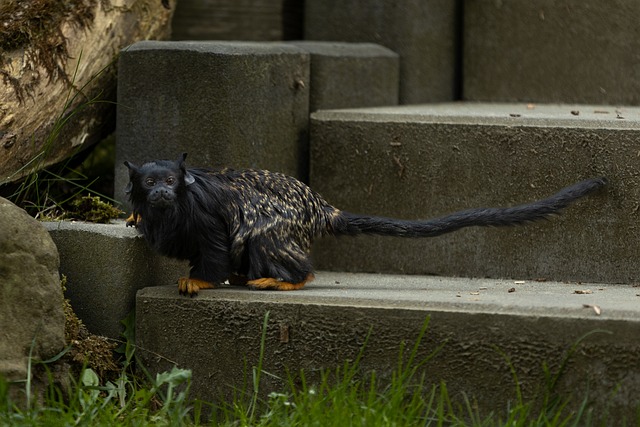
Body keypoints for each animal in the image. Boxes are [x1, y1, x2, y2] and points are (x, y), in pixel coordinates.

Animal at [124, 154, 604, 298]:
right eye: (150, 183)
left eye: (171, 182)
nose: (162, 192)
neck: (169, 212)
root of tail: (319, 208)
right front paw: (134, 216)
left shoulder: (203, 218)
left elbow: (215, 247)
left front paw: (199, 281)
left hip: (282, 227)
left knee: (267, 238)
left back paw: (287, 279)